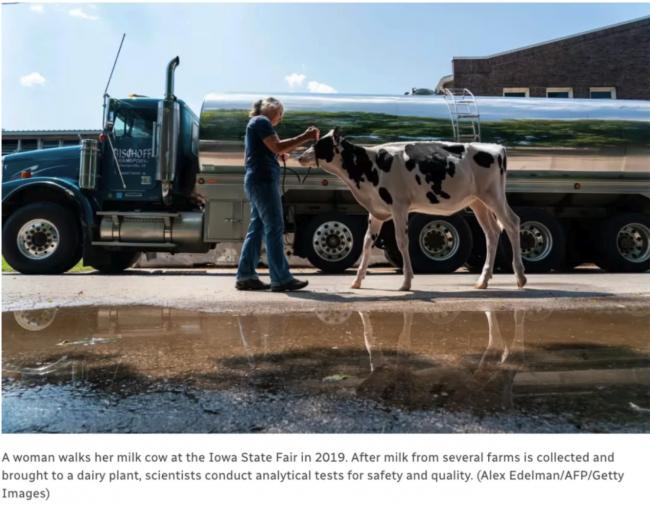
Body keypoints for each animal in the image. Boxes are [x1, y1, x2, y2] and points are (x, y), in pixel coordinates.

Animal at [298, 128, 528, 290]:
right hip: (477, 201)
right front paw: (357, 281)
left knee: (512, 223)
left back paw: (520, 277)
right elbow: (366, 243)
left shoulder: (399, 206)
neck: (369, 166)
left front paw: (406, 282)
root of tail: (496, 148)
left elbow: (401, 241)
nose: (300, 156)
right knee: (492, 232)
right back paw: (483, 280)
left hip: (494, 196)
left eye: (319, 144)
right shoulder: (376, 210)